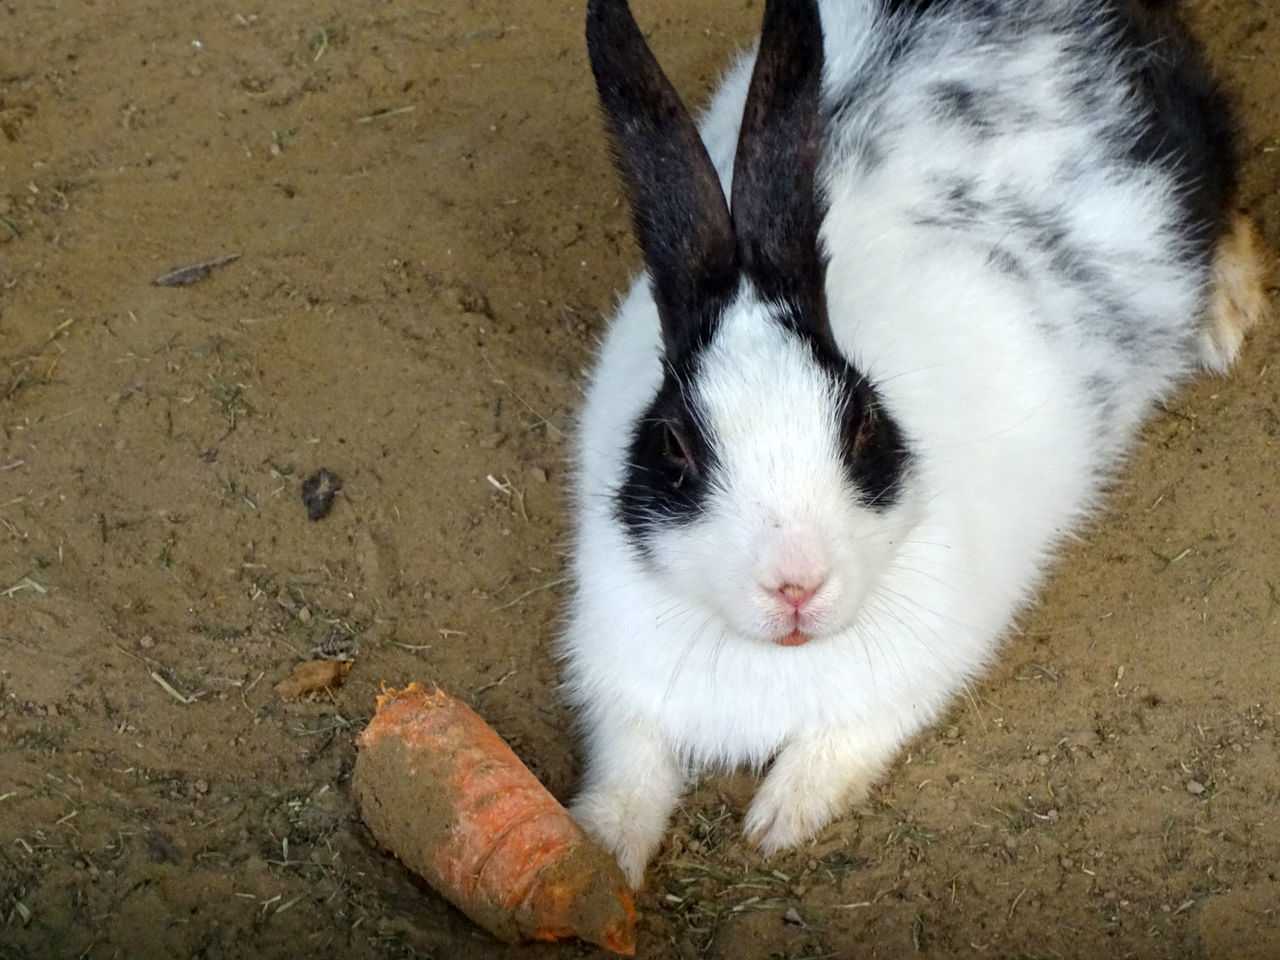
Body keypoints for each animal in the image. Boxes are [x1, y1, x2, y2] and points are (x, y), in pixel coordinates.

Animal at [560, 0, 1269, 890]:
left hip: (1180, 157)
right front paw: (595, 854)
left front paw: (778, 822)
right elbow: (629, 776)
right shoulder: (625, 699)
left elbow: (839, 749)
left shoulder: (911, 683)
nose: (796, 585)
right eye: (677, 449)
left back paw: (1223, 320)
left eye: (861, 424)